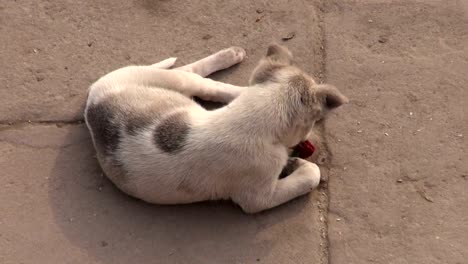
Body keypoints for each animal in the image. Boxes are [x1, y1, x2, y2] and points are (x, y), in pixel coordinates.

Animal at [84, 43, 348, 212]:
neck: (256, 114)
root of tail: (92, 100)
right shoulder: (257, 198)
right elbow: (311, 174)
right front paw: (298, 164)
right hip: (175, 81)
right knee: (196, 76)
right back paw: (232, 56)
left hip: (169, 81)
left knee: (200, 79)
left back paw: (232, 58)